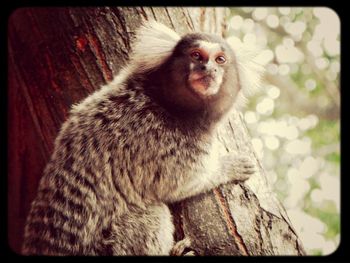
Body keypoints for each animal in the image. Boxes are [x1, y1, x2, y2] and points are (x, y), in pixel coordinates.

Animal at [21, 20, 262, 256]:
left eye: (220, 60)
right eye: (196, 56)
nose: (208, 69)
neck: (165, 100)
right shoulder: (162, 140)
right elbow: (180, 185)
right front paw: (229, 166)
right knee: (153, 213)